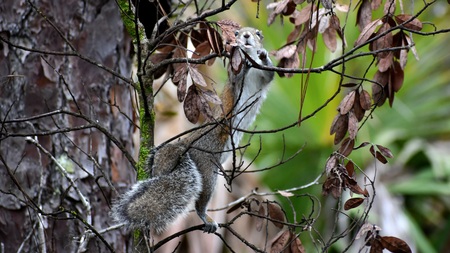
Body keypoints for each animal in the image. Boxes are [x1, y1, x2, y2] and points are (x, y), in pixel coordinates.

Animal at [112, 26, 274, 234]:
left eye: (258, 33)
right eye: (236, 33)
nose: (246, 36)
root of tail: (184, 145)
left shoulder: (263, 76)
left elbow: (270, 74)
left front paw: (264, 55)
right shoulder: (234, 77)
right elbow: (236, 76)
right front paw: (244, 61)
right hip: (207, 167)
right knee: (201, 198)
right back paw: (205, 217)